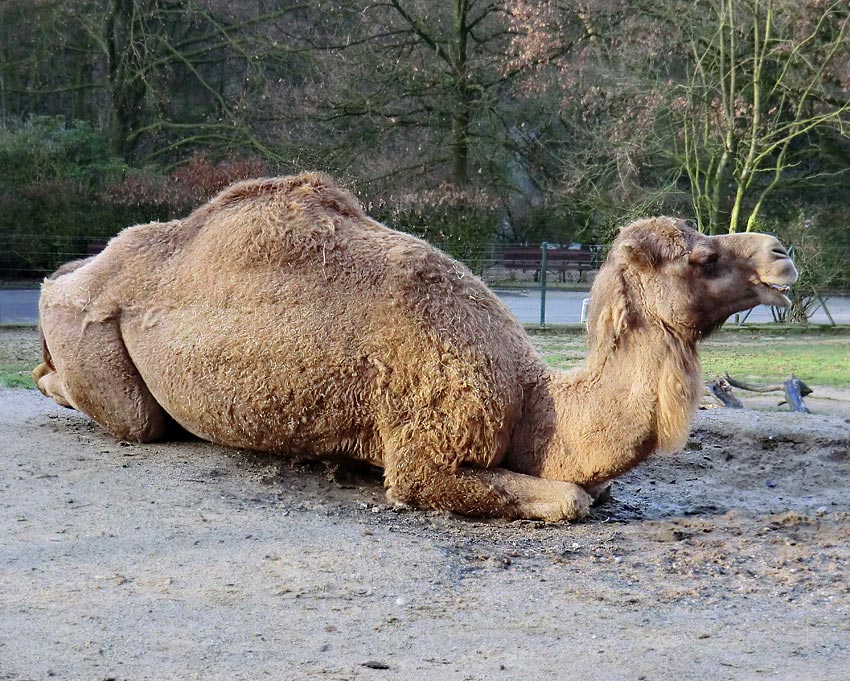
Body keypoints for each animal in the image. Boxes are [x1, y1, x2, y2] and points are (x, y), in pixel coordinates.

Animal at [33, 171, 796, 520]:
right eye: (700, 257)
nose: (781, 256)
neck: (533, 400)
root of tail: (66, 275)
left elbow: (590, 489)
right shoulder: (422, 456)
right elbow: (569, 499)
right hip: (94, 336)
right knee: (130, 416)